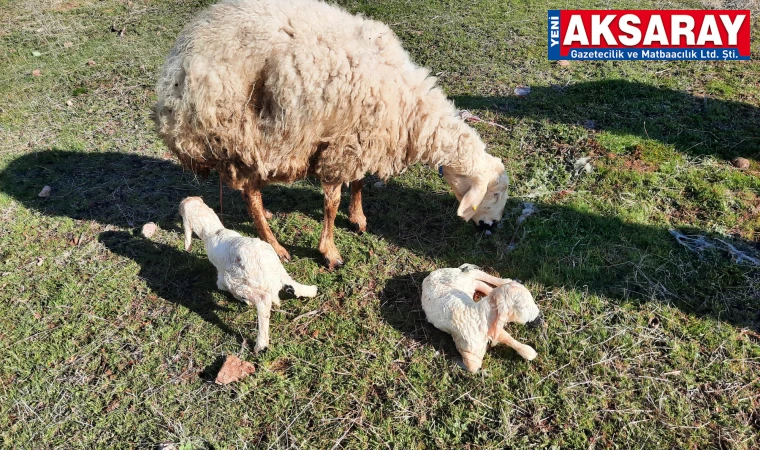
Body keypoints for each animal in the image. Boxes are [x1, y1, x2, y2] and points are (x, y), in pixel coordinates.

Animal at [154, 0, 510, 270]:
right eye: (493, 196)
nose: (493, 229)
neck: (409, 106)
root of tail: (180, 61)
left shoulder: (360, 137)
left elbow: (360, 183)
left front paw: (358, 218)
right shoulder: (341, 146)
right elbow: (331, 203)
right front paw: (330, 252)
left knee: (250, 190)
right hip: (243, 135)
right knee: (250, 193)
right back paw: (275, 245)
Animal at [181, 196, 318, 352]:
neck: (214, 231)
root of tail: (266, 267)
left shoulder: (222, 276)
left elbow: (221, 286)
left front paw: (241, 299)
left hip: (238, 281)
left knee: (263, 300)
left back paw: (260, 344)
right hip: (278, 269)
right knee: (294, 284)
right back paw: (311, 290)